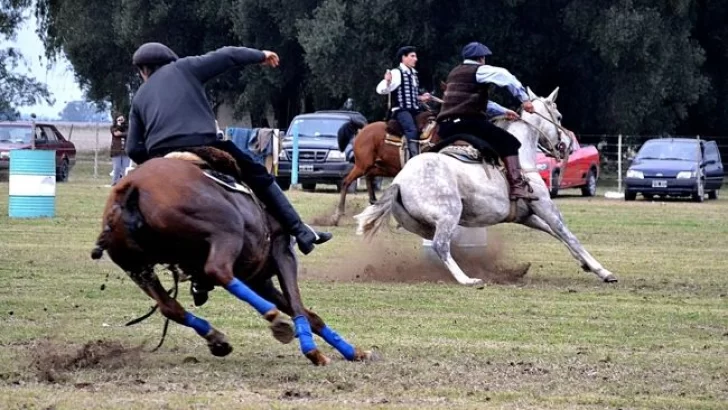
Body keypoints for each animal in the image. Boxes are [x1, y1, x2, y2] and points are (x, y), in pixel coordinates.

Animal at [91, 149, 372, 366]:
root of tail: (131, 187)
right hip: (226, 232)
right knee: (219, 271)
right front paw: (314, 352)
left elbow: (308, 313)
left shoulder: (258, 279)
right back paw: (274, 320)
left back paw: (216, 339)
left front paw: (353, 352)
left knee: (170, 306)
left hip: (137, 268)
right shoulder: (282, 254)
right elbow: (298, 305)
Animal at [356, 87, 616, 286]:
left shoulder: (526, 215)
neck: (523, 158)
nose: (566, 146)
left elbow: (555, 233)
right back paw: (467, 279)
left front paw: (586, 265)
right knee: (441, 246)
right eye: (559, 116)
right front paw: (603, 271)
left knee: (443, 246)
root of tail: (400, 181)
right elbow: (568, 235)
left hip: (421, 226)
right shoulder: (545, 206)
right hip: (448, 214)